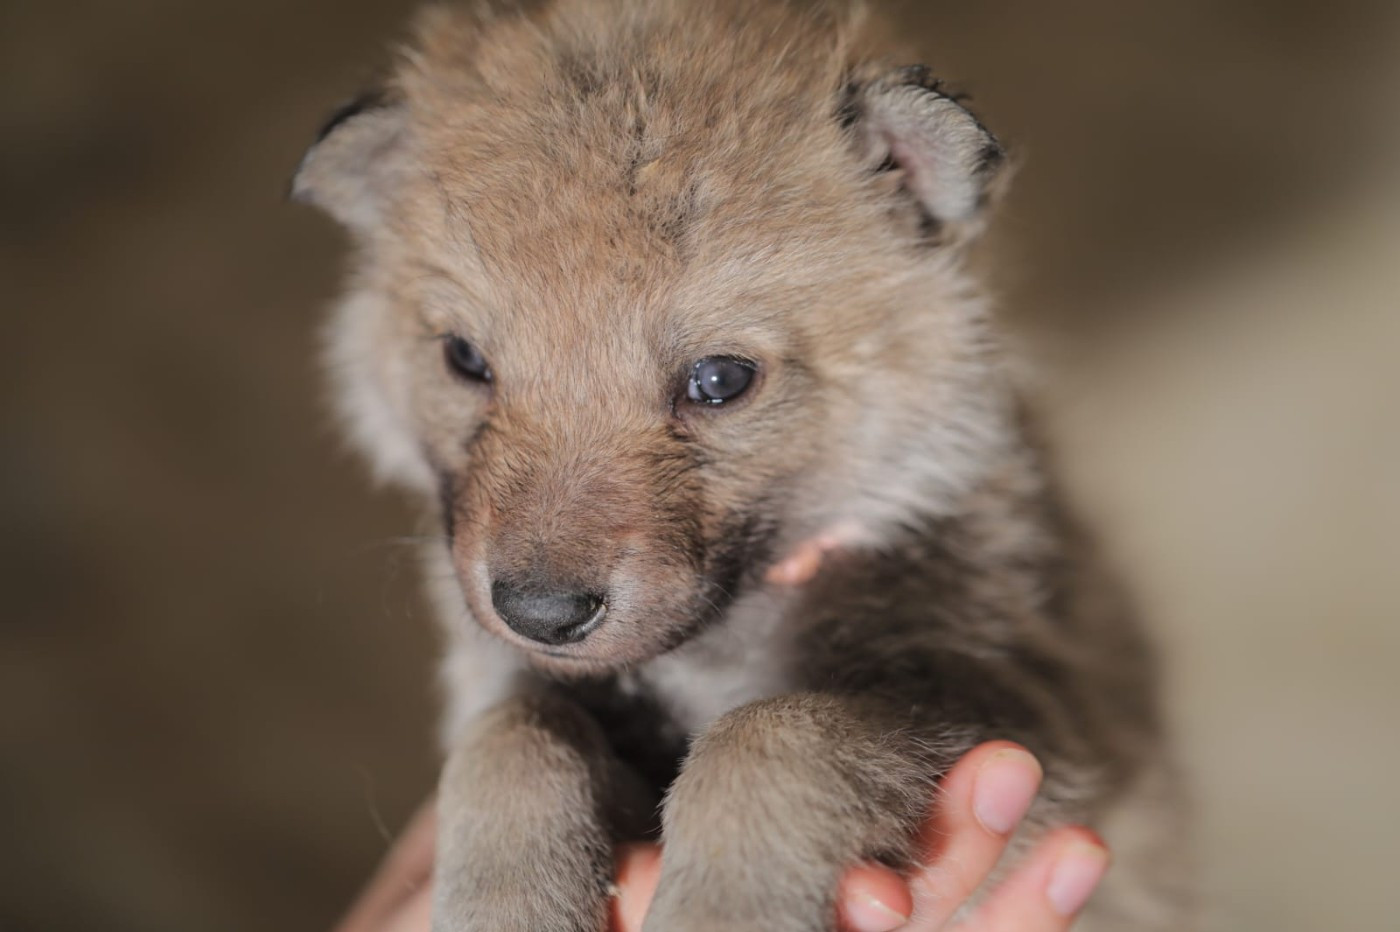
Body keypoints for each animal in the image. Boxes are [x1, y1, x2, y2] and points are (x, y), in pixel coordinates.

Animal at [293, 1, 1190, 929]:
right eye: (465, 358)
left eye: (720, 380)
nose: (541, 613)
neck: (712, 649)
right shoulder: (508, 681)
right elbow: (515, 736)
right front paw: (508, 902)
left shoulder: (1013, 701)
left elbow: (768, 735)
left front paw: (723, 904)